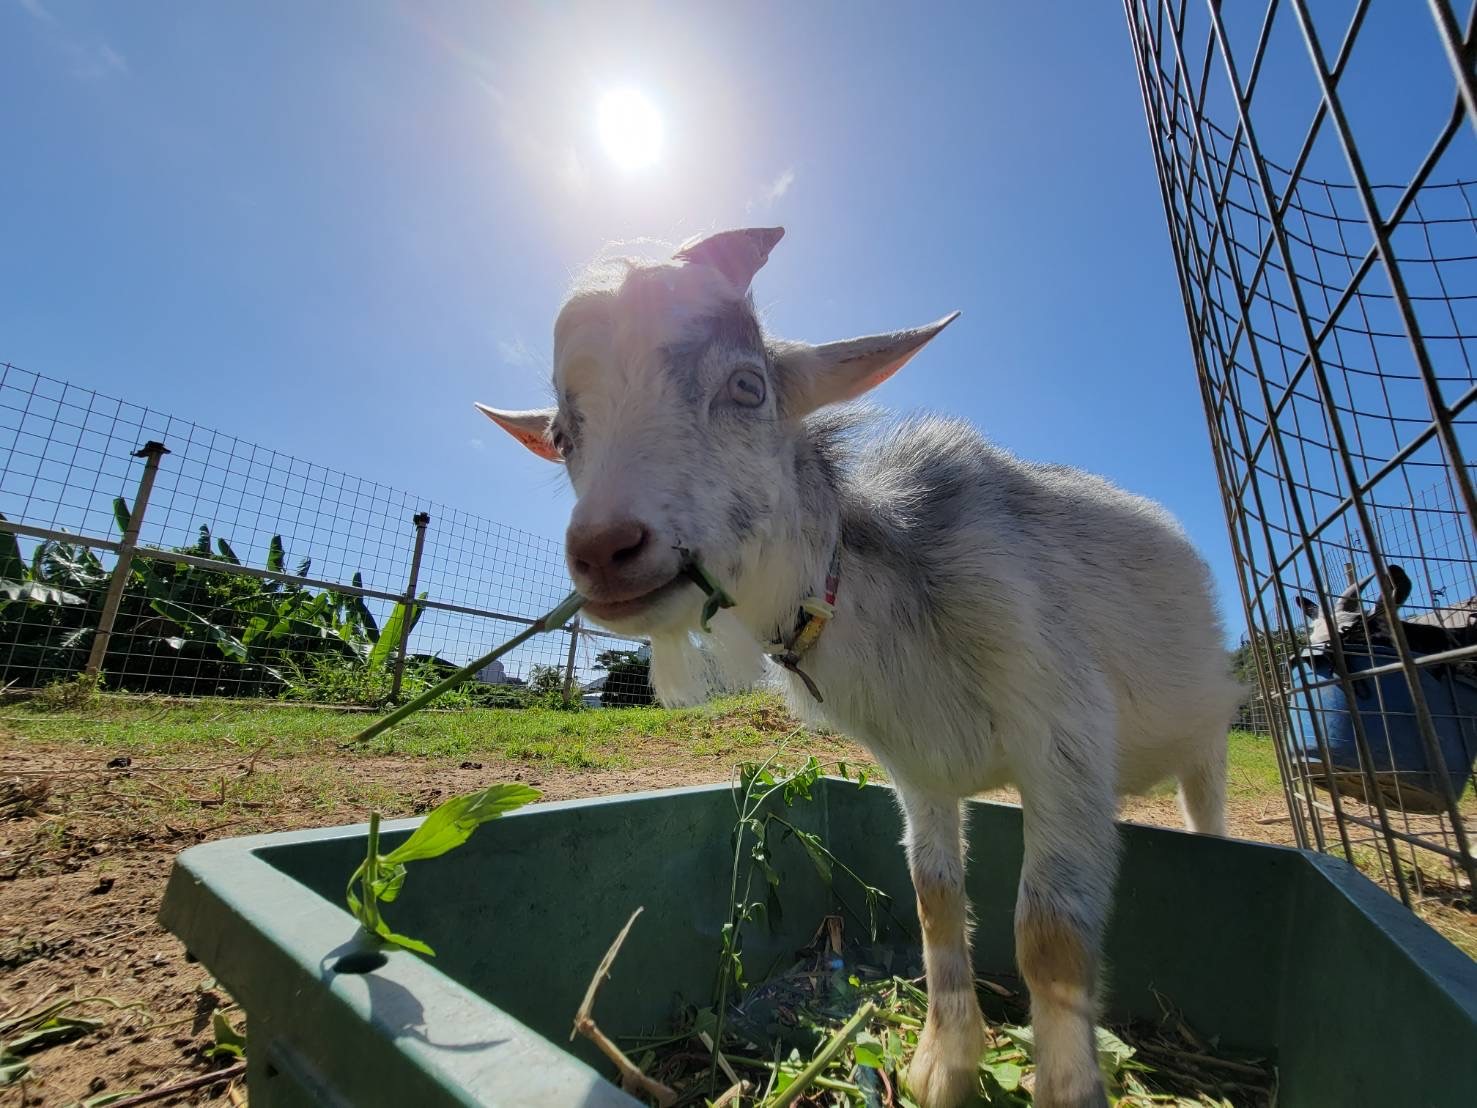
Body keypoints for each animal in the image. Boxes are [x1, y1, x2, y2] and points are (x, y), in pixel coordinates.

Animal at [478, 227, 1240, 1108]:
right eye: (563, 436)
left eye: (747, 386)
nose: (604, 550)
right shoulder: (917, 770)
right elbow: (935, 897)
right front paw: (942, 1063)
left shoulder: (1063, 737)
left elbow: (1048, 933)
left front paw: (1065, 1087)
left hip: (1206, 736)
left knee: (1205, 810)